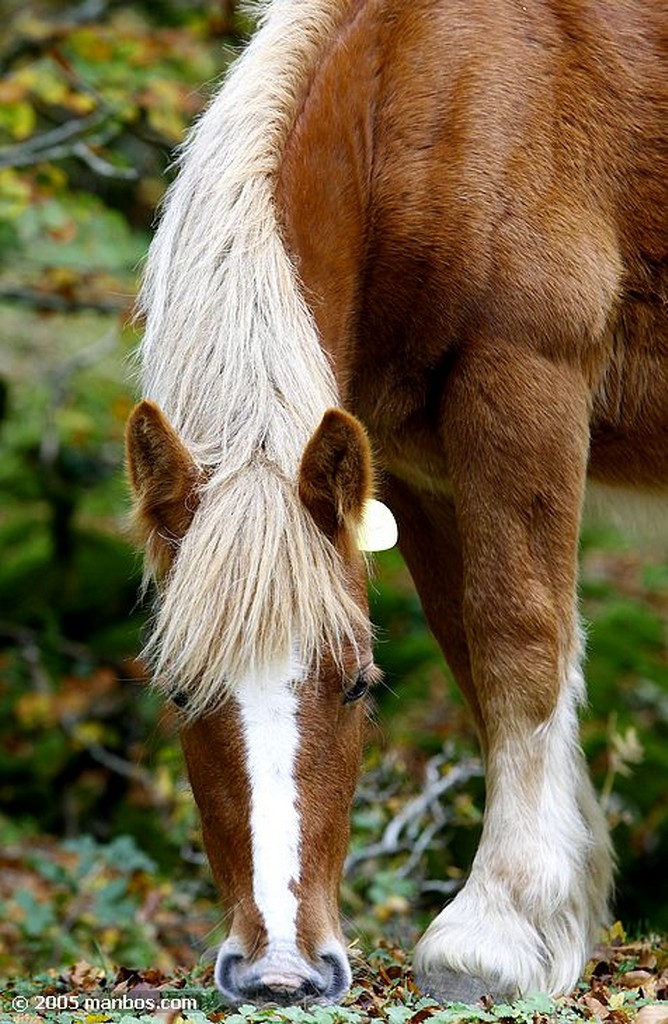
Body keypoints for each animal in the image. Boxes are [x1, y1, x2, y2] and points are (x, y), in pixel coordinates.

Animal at [123, 0, 663, 1007]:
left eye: (358, 686)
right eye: (180, 690)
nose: (282, 971)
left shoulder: (521, 378)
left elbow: (521, 641)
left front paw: (492, 933)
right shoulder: (415, 465)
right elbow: (476, 659)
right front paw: (559, 919)